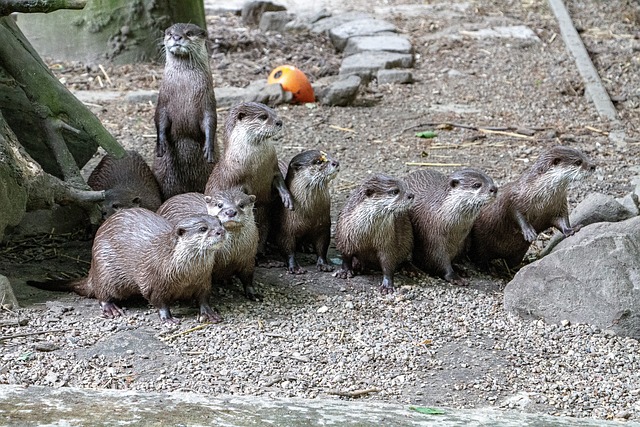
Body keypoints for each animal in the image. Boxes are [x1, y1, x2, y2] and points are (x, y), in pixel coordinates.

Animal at [28, 208, 228, 324]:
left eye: (219, 223)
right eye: (203, 229)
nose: (221, 231)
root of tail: (92, 269)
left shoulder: (203, 280)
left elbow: (203, 298)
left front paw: (209, 313)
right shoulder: (153, 282)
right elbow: (159, 301)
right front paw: (168, 318)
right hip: (105, 270)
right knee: (101, 293)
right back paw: (111, 308)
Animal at [152, 24, 218, 201]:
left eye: (189, 33)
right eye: (169, 33)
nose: (176, 37)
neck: (184, 86)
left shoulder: (208, 100)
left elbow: (210, 120)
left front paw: (209, 147)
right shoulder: (163, 100)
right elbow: (159, 118)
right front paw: (161, 144)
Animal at [205, 101, 292, 252]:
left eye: (273, 111)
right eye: (263, 117)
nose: (279, 122)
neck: (256, 163)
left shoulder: (273, 168)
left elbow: (280, 180)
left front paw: (287, 198)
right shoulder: (235, 179)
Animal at [468, 145, 596, 270]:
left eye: (585, 156)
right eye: (578, 162)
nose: (593, 166)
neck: (542, 195)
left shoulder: (558, 205)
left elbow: (562, 220)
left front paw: (571, 230)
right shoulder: (516, 199)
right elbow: (515, 213)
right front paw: (529, 232)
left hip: (518, 253)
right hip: (480, 242)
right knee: (480, 257)